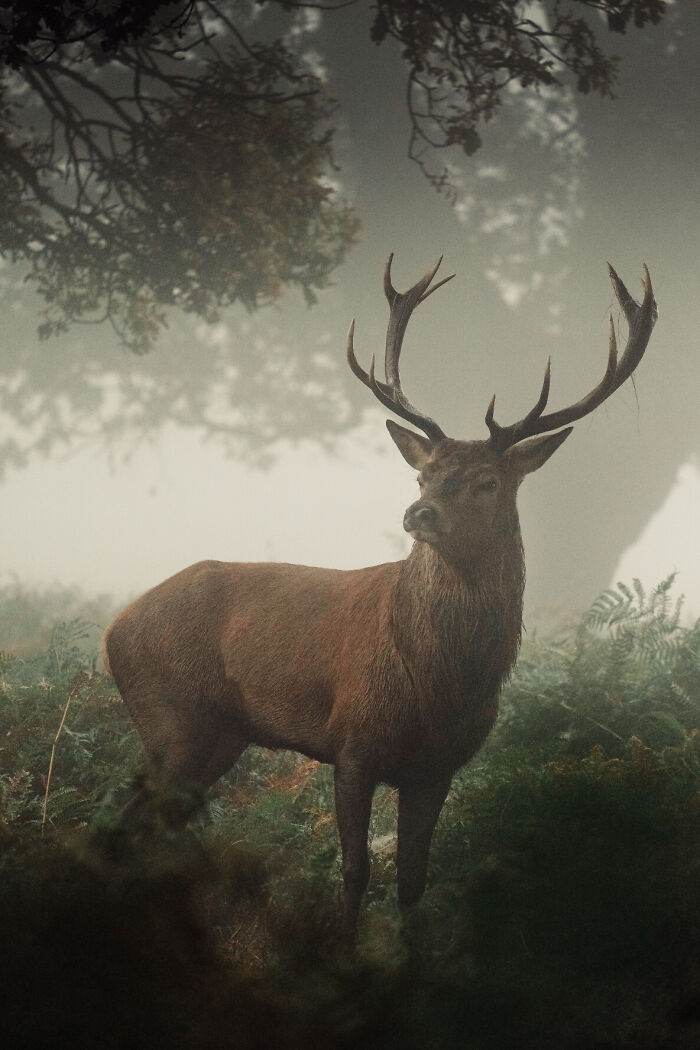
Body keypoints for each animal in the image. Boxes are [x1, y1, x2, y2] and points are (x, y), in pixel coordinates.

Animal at [103, 255, 657, 931]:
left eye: (488, 481)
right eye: (422, 473)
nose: (419, 513)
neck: (437, 682)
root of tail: (113, 628)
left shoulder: (438, 767)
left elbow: (414, 880)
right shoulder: (352, 743)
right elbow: (355, 870)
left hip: (219, 735)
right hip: (169, 717)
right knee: (121, 822)